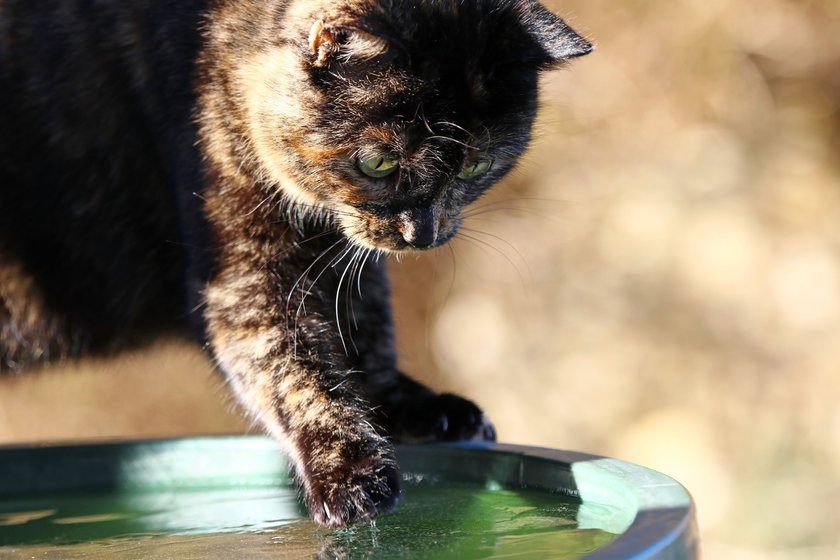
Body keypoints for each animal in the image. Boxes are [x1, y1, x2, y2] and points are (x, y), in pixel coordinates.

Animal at [0, 0, 592, 524]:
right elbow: (291, 369)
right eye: (378, 162)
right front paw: (350, 471)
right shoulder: (242, 273)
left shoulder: (342, 252)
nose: (420, 233)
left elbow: (363, 323)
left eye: (475, 166)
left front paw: (407, 407)